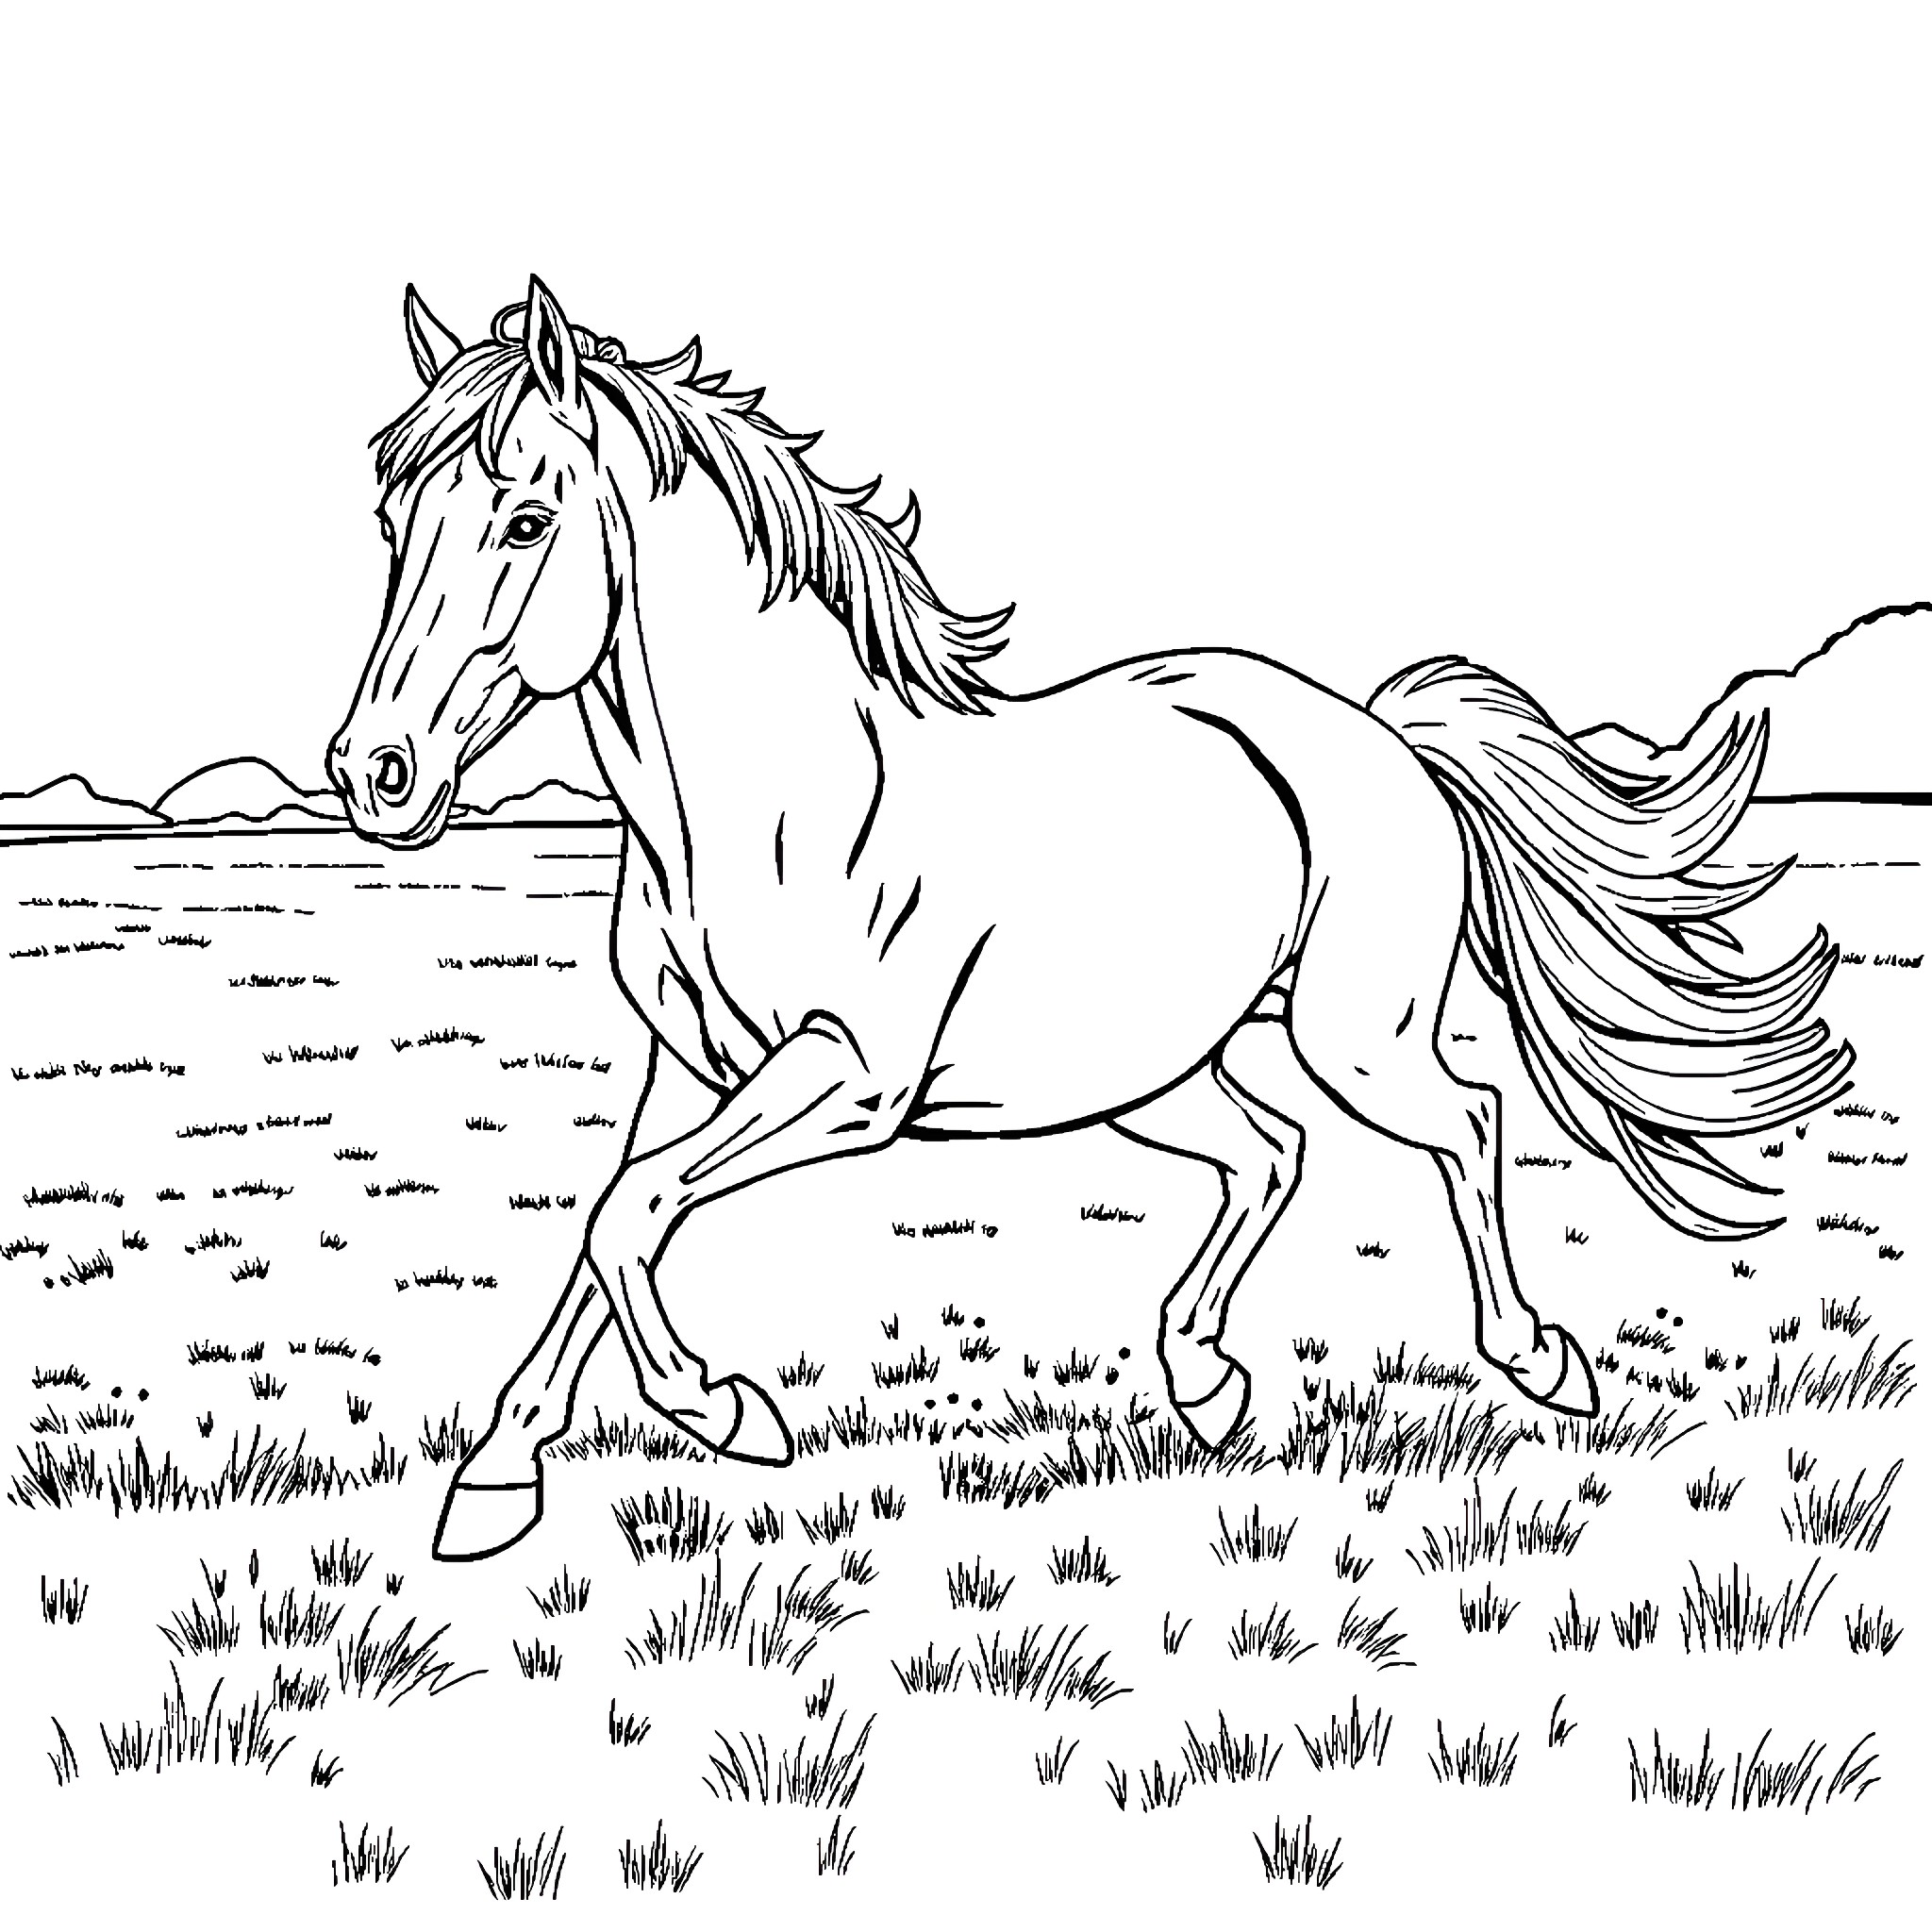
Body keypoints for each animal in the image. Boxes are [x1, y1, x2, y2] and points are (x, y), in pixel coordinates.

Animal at [327, 277, 1854, 1561]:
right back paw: (1204, 1381)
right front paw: (497, 1481)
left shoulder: (851, 1077)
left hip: (1356, 1036)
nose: (372, 771)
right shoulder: (685, 1072)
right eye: (394, 527)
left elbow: (630, 1214)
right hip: (1145, 1072)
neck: (760, 809)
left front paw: (726, 1408)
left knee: (1465, 1121)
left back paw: (1537, 1358)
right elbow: (605, 1229)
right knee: (1272, 1155)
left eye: (525, 521)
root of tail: (1378, 734)